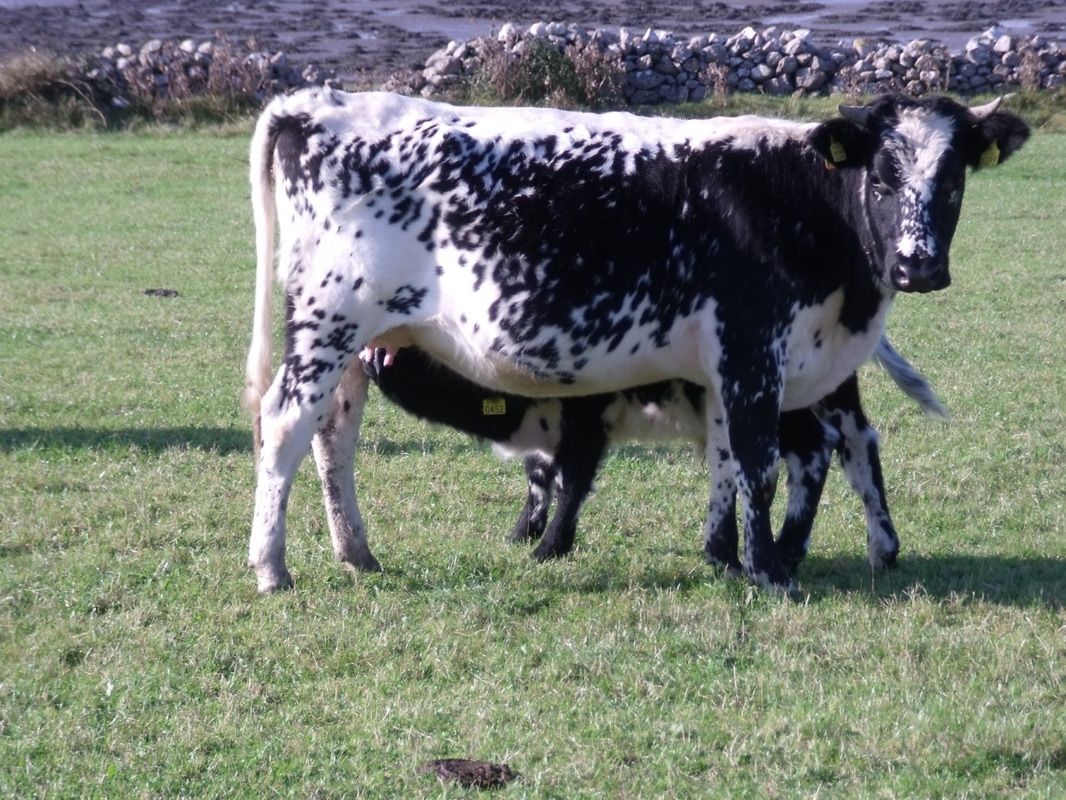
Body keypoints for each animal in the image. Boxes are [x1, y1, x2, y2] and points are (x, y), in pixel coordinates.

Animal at [359, 336, 947, 574]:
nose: (367, 358)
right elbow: (539, 473)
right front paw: (524, 530)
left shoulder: (585, 418)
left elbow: (571, 478)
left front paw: (550, 546)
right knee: (854, 447)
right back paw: (872, 547)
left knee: (820, 451)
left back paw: (789, 547)